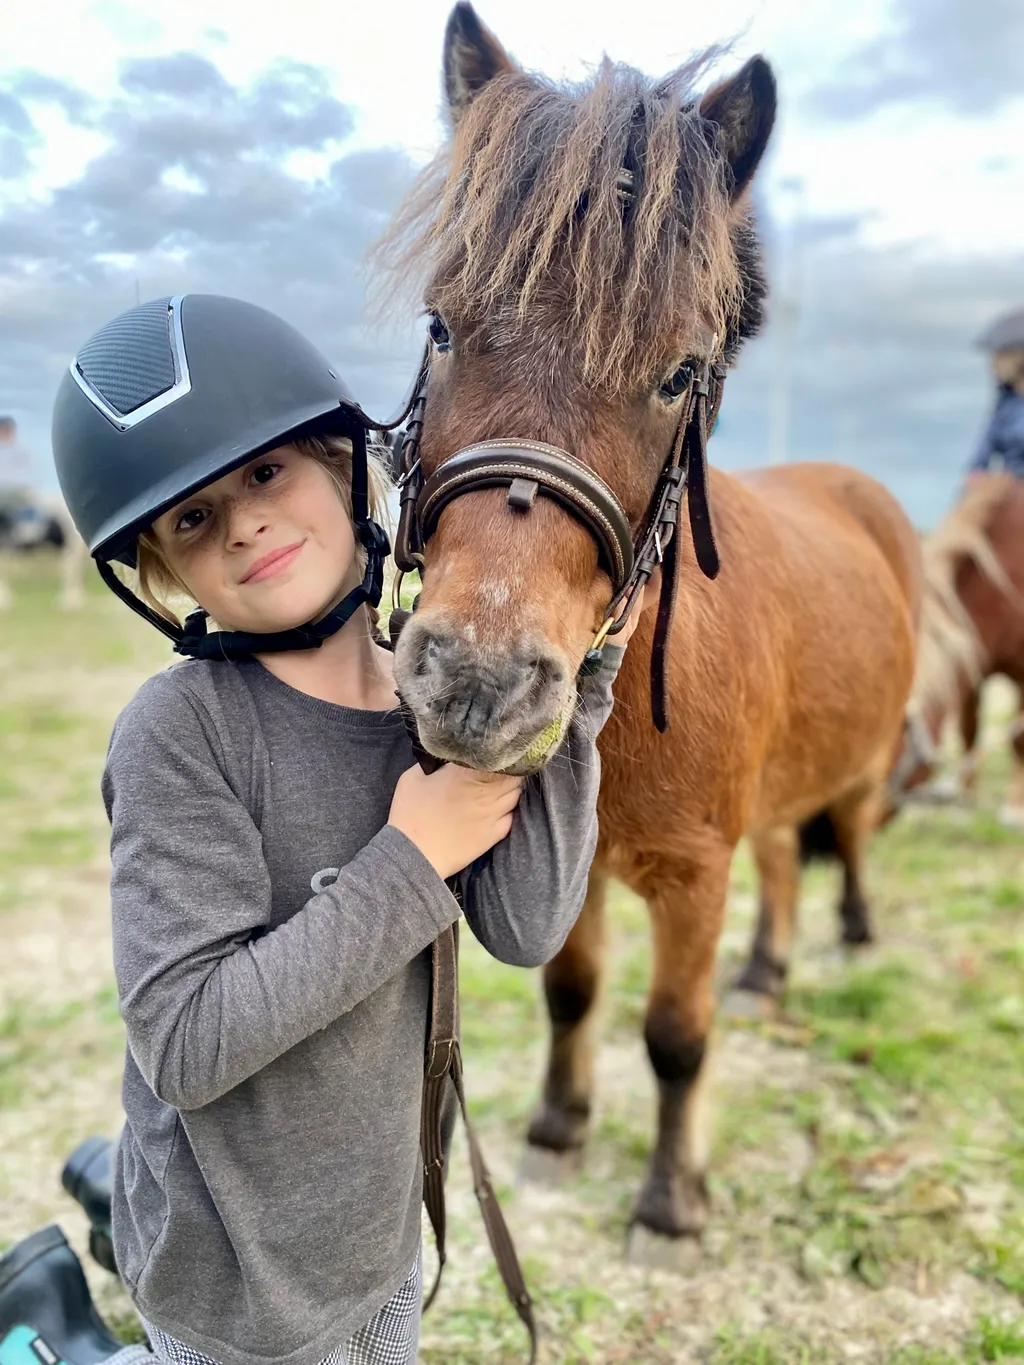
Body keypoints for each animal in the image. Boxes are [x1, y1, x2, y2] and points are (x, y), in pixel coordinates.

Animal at [379, 3, 921, 1260]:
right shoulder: (573, 875)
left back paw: (849, 931)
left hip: (864, 758)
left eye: (679, 375)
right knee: (785, 854)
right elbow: (570, 993)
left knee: (843, 834)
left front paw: (672, 1197)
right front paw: (558, 1128)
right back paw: (768, 971)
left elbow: (675, 1034)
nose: (476, 683)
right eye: (441, 324)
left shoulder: (690, 877)